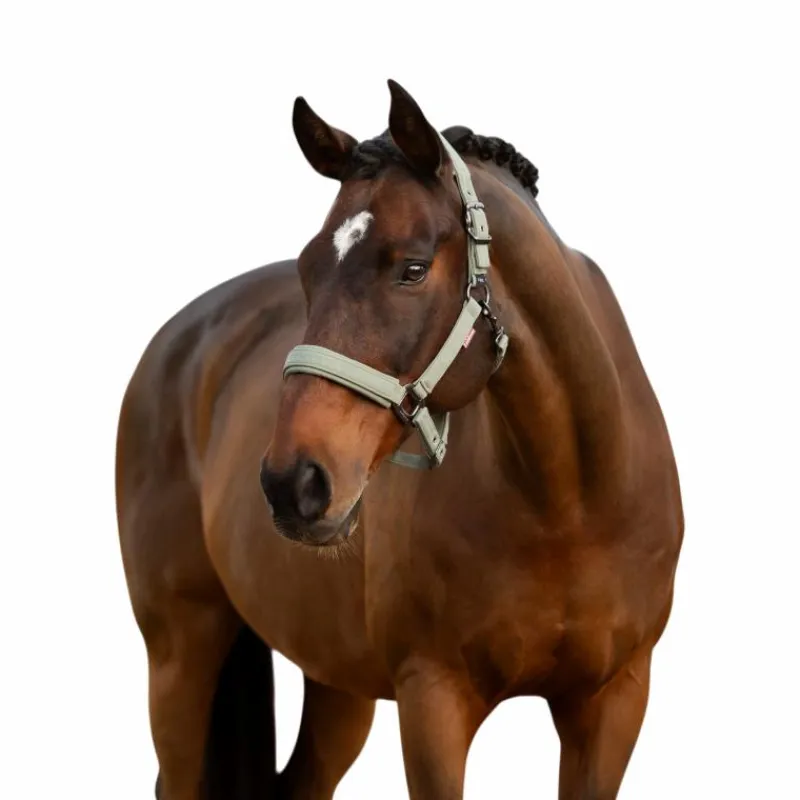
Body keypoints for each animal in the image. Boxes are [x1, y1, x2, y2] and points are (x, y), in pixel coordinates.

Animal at [115, 79, 683, 799]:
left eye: (412, 268)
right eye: (307, 268)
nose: (292, 483)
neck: (568, 502)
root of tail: (176, 341)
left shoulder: (613, 702)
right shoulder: (432, 700)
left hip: (333, 676)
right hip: (182, 648)